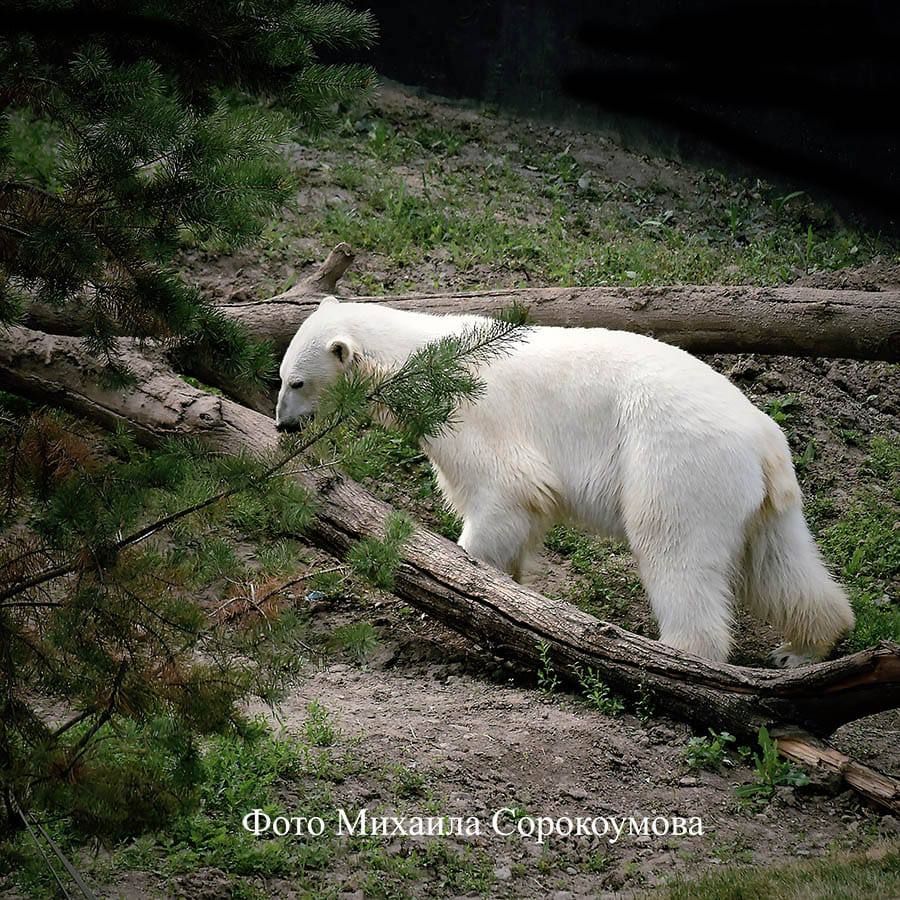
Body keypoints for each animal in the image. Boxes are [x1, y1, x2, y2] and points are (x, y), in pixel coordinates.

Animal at [278, 298, 856, 664]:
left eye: (297, 382)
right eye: (281, 376)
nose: (283, 425)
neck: (430, 358)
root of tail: (765, 440)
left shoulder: (477, 415)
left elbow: (504, 491)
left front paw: (462, 574)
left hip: (677, 462)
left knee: (675, 549)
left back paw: (681, 655)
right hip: (760, 495)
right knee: (780, 561)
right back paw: (802, 648)